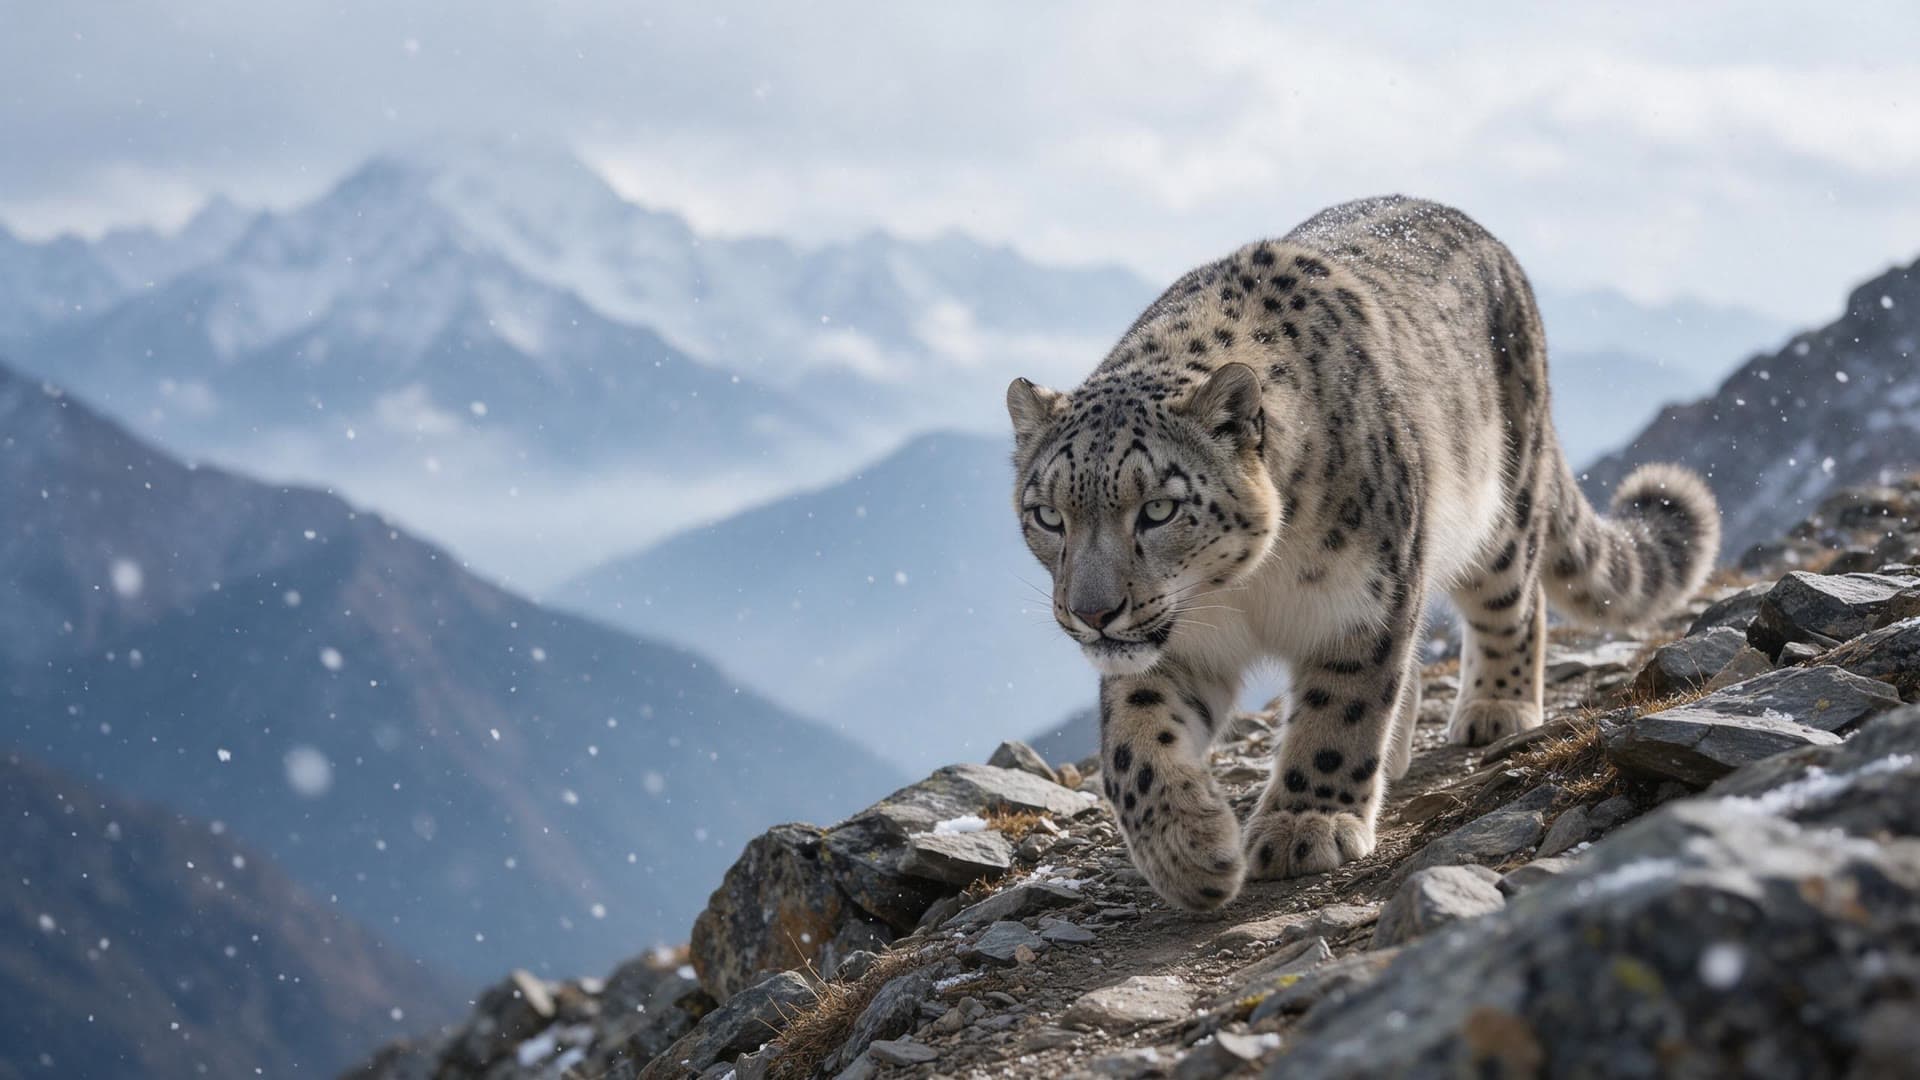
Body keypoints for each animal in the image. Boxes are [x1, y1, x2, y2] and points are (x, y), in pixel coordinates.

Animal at [1006, 196, 1719, 911]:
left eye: (1158, 509)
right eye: (1049, 515)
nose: (1093, 613)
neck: (1243, 591)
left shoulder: (1361, 602)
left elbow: (1340, 711)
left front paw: (1306, 826)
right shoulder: (1177, 644)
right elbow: (1134, 744)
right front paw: (1190, 850)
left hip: (1501, 509)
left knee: (1515, 601)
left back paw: (1496, 707)